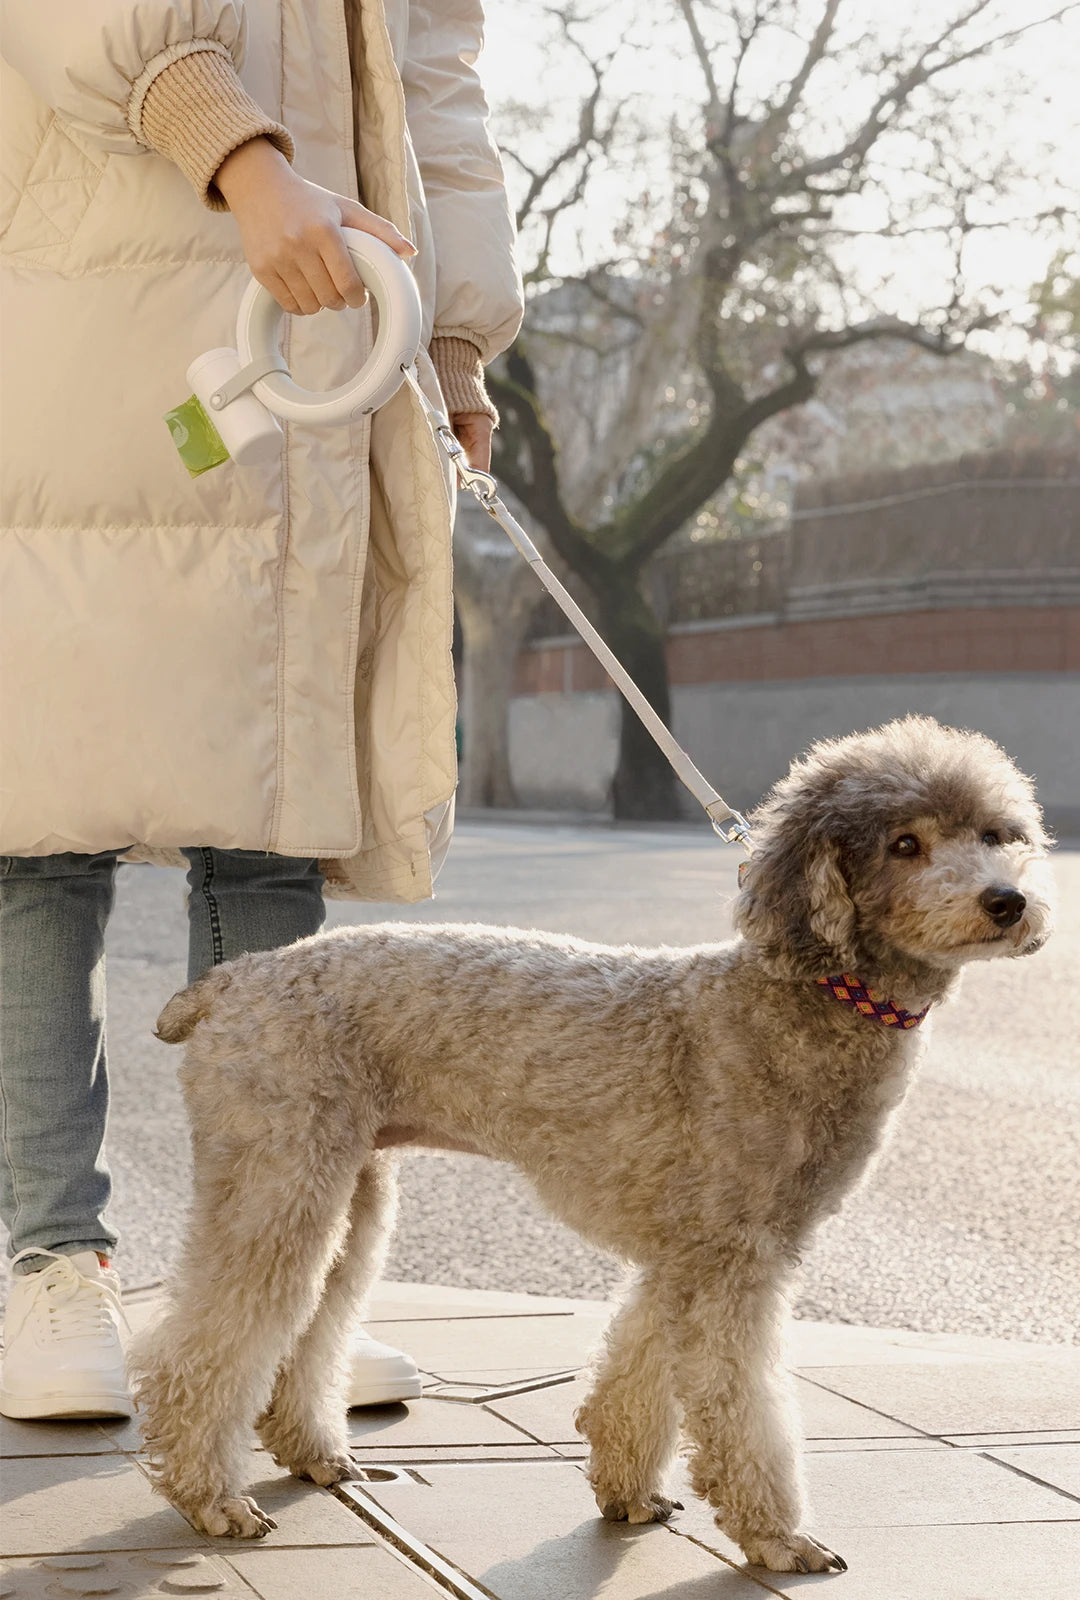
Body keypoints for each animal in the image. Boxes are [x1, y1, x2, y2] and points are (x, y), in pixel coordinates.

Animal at [131, 723, 1049, 1574]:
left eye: (997, 834)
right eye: (905, 844)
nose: (1008, 901)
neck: (801, 995)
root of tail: (229, 984)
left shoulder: (687, 1255)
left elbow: (641, 1366)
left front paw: (629, 1489)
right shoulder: (732, 1257)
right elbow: (742, 1403)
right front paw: (775, 1535)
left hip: (347, 1185)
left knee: (312, 1315)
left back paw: (312, 1453)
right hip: (279, 1172)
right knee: (207, 1346)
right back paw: (209, 1496)